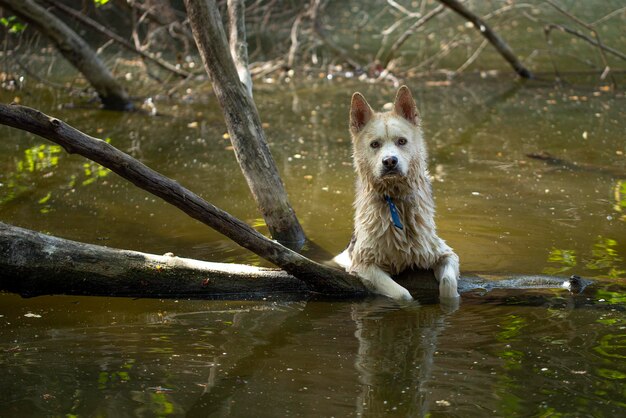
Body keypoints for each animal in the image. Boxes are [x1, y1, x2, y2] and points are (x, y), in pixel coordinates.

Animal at [332, 85, 458, 300]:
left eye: (401, 141)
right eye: (375, 144)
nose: (390, 161)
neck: (395, 201)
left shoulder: (445, 253)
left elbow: (449, 284)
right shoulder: (364, 265)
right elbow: (403, 295)